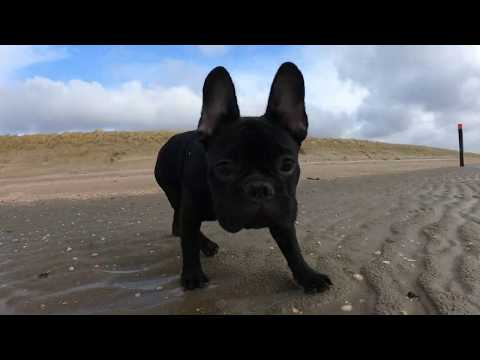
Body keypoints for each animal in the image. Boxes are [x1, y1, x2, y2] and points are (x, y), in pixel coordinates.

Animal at [156, 62, 332, 292]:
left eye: (287, 165)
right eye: (224, 168)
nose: (259, 188)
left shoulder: (283, 215)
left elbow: (292, 247)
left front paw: (307, 276)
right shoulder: (191, 209)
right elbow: (189, 243)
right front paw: (192, 275)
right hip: (174, 192)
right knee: (183, 225)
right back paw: (206, 245)